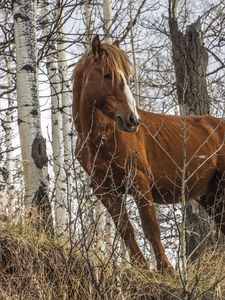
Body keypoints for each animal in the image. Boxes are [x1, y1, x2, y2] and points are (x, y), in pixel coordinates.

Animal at [72, 34, 225, 272]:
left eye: (126, 77)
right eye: (107, 75)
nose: (132, 120)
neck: (100, 137)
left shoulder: (139, 181)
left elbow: (151, 228)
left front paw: (166, 270)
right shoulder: (104, 190)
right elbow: (126, 229)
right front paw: (141, 266)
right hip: (212, 196)